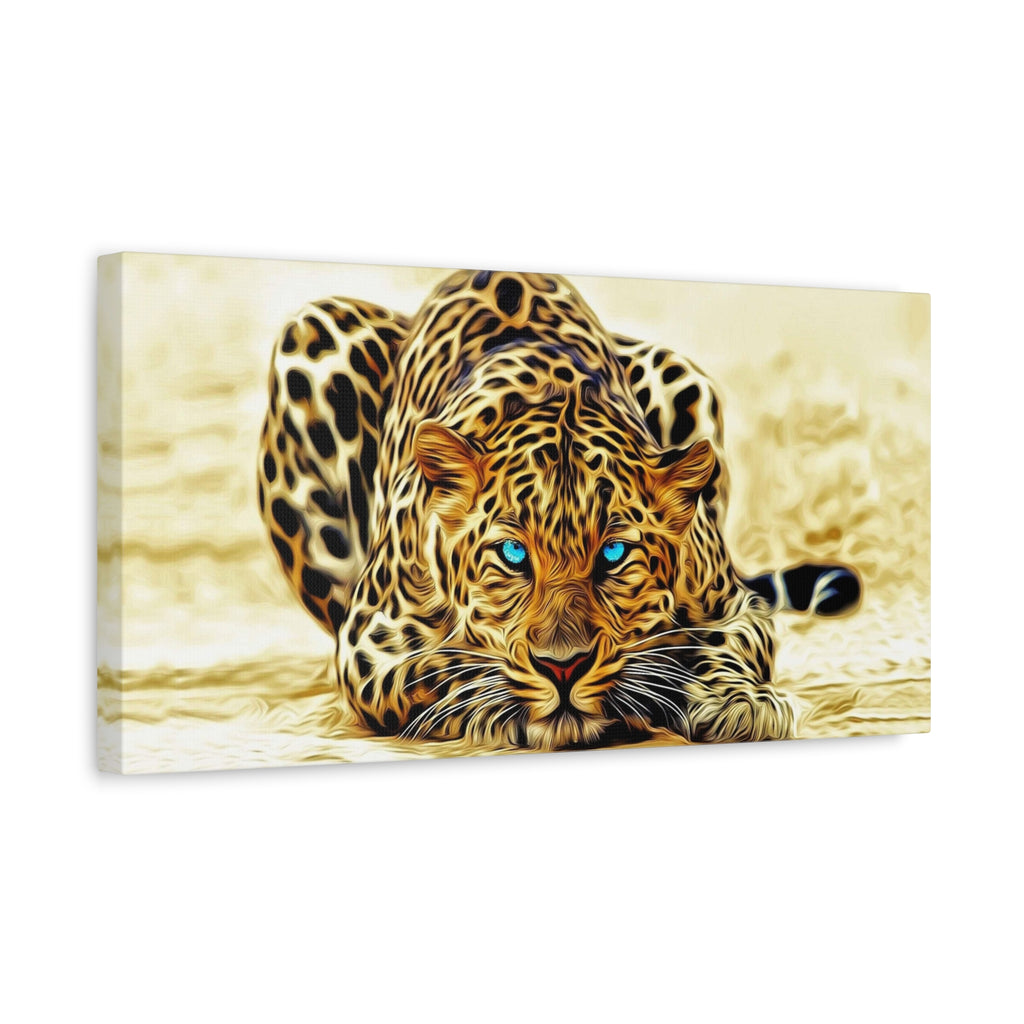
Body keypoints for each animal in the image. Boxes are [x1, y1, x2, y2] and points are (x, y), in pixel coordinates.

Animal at [256, 269, 861, 751]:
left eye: (614, 553)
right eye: (512, 554)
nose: (563, 666)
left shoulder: (734, 605)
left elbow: (729, 645)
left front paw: (739, 702)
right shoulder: (369, 641)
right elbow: (440, 668)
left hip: (681, 372)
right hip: (310, 333)